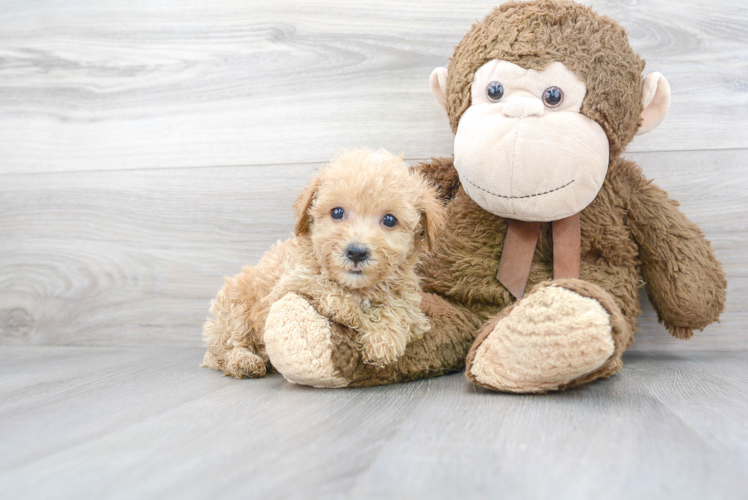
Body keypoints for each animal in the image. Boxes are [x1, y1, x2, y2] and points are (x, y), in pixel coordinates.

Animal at [200, 148, 444, 378]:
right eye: (337, 212)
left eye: (390, 220)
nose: (356, 252)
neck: (359, 288)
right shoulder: (287, 285)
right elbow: (322, 285)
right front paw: (351, 312)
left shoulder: (411, 305)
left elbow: (398, 311)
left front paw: (383, 340)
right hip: (236, 309)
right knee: (226, 349)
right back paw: (244, 361)